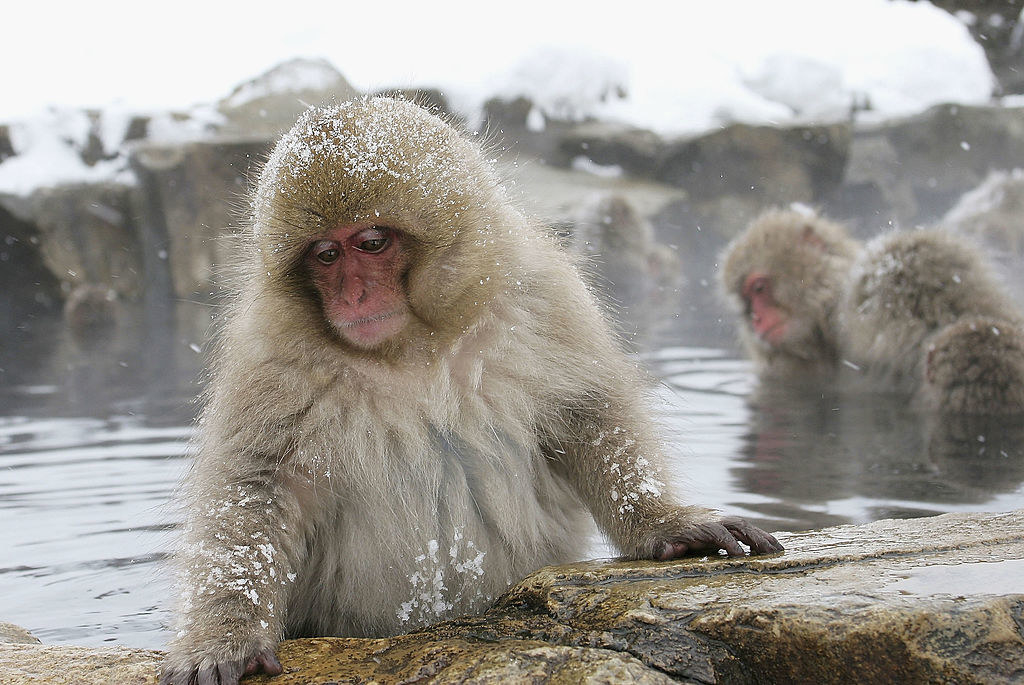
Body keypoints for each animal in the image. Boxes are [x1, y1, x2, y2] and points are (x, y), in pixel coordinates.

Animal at [161, 97, 782, 683]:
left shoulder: (539, 292)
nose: (353, 297)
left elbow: (586, 413)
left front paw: (665, 524)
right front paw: (227, 638)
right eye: (326, 254)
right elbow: (256, 489)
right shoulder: (270, 352)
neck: (413, 346)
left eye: (372, 242)